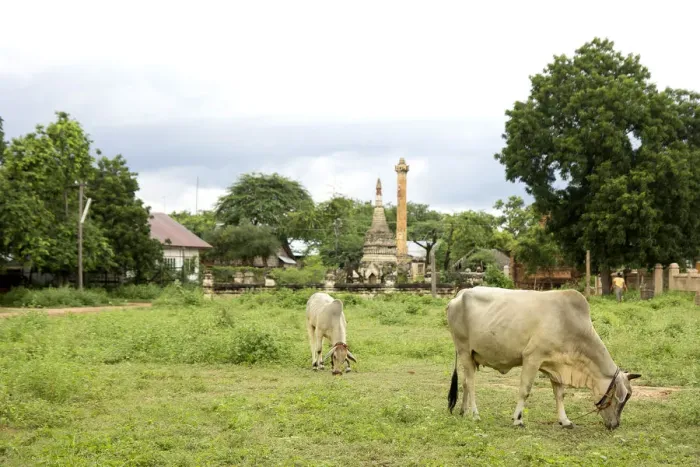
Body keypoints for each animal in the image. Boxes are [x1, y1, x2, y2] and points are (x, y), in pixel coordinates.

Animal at [446, 286, 640, 430]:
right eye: (623, 398)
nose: (615, 425)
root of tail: (460, 294)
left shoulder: (557, 364)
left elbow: (560, 394)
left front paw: (565, 420)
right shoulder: (532, 358)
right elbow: (525, 390)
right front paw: (517, 419)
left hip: (470, 356)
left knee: (465, 382)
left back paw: (463, 411)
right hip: (464, 350)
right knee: (471, 384)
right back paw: (475, 414)